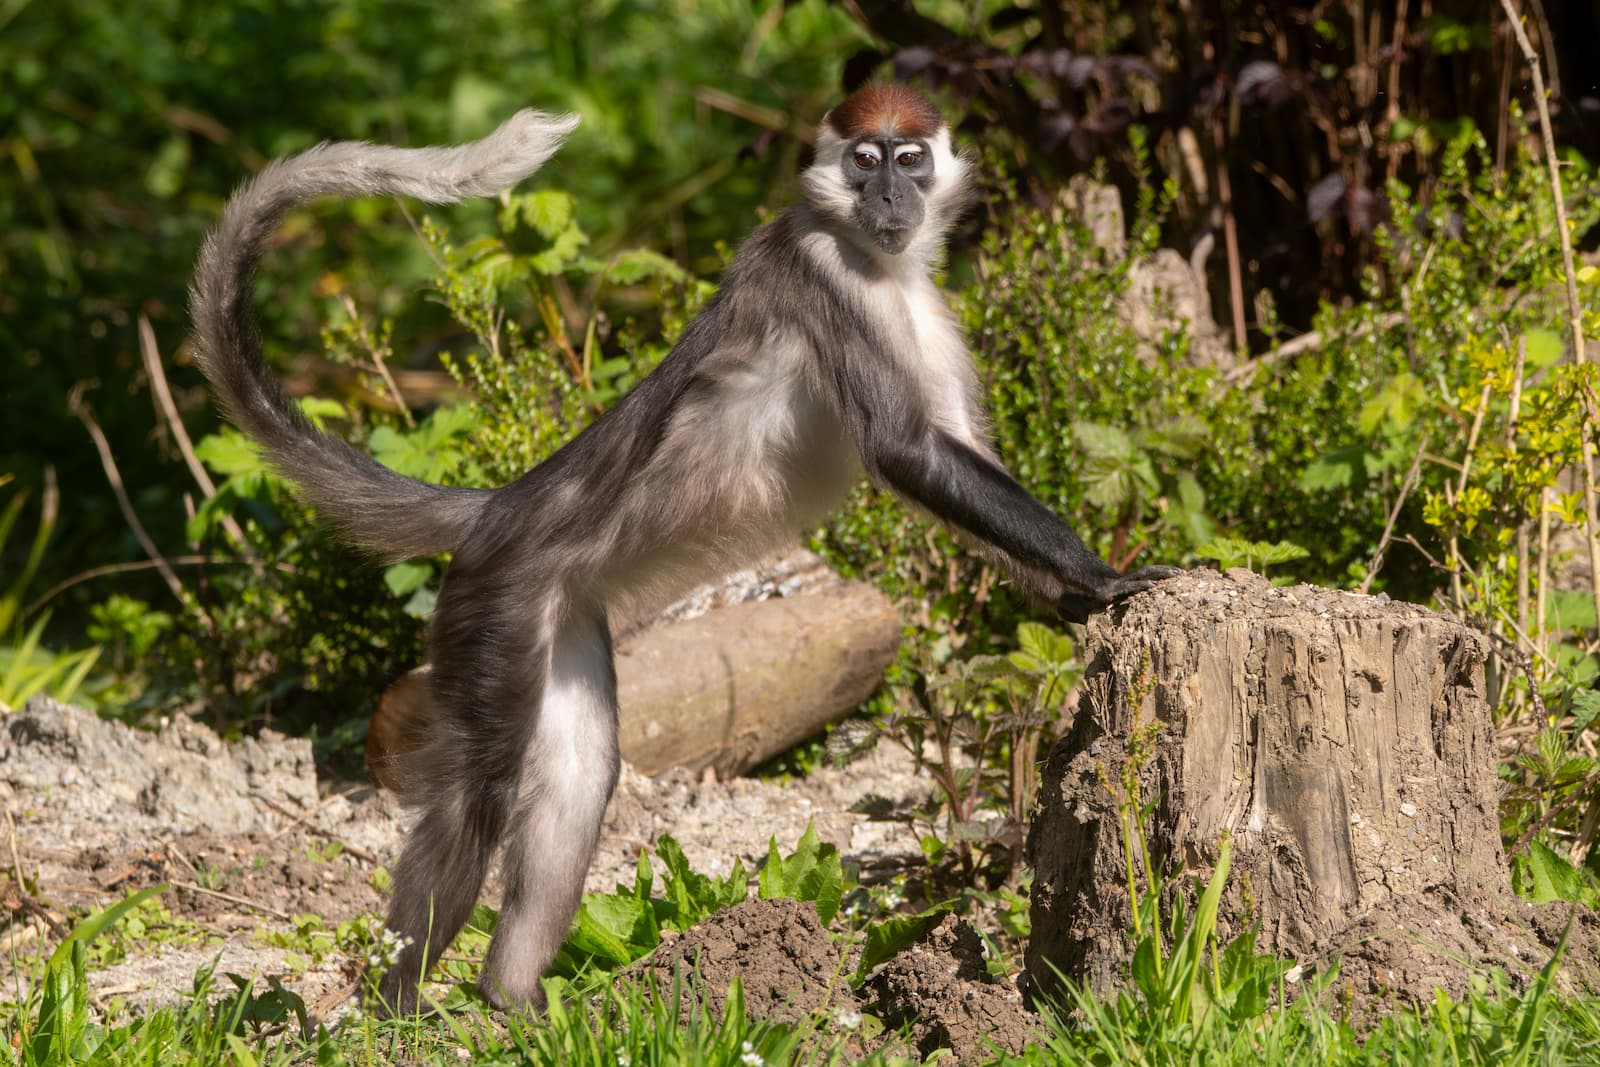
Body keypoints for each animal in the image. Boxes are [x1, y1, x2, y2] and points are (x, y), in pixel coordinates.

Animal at [190, 83, 1180, 1016]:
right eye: (863, 161)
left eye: (910, 158)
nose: (891, 196)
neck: (872, 259)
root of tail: (503, 507)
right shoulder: (818, 267)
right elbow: (907, 450)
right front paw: (1104, 574)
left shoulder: (920, 296)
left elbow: (953, 448)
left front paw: (1076, 597)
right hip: (495, 601)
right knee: (479, 787)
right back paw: (395, 1008)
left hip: (558, 610)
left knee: (579, 775)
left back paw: (509, 1000)